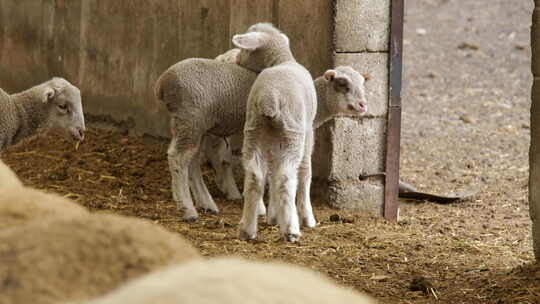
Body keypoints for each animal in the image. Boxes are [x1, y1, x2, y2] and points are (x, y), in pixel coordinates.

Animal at [230, 23, 370, 242]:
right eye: (343, 85)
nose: (363, 105)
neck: (284, 59)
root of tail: (270, 99)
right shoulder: (307, 135)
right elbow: (305, 174)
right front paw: (306, 218)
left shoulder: (273, 144)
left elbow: (271, 176)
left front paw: (273, 215)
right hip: (292, 135)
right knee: (287, 179)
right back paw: (292, 230)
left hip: (254, 132)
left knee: (255, 176)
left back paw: (247, 230)